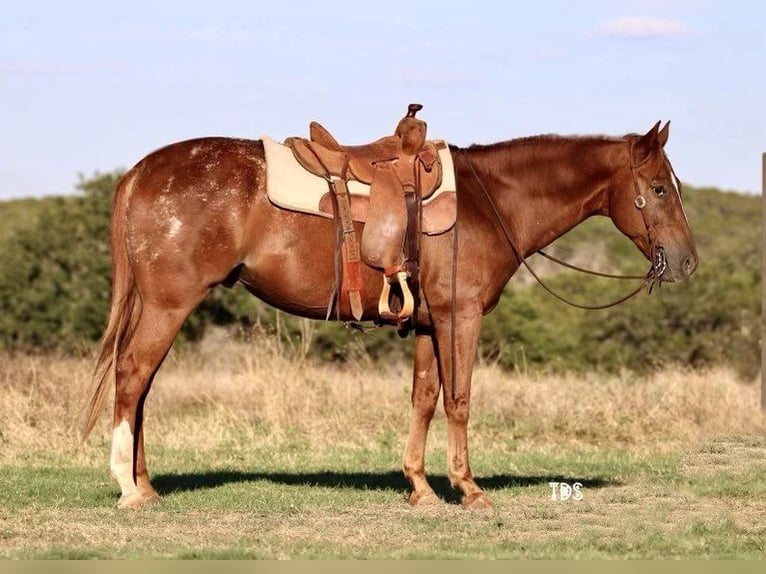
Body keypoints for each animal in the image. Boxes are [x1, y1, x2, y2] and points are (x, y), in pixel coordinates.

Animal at [81, 119, 700, 510]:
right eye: (658, 188)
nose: (688, 261)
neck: (487, 201)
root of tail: (140, 171)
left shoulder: (428, 323)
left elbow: (424, 399)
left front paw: (421, 489)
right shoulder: (460, 318)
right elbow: (459, 399)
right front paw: (469, 489)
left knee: (141, 387)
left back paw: (145, 484)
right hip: (169, 305)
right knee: (132, 376)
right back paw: (128, 489)